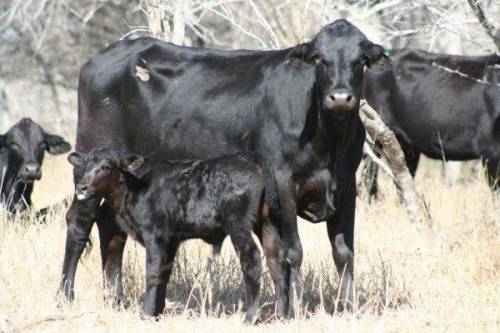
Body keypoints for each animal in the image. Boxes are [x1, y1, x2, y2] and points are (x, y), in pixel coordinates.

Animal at [69, 148, 290, 322]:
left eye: (107, 166)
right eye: (86, 164)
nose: (82, 187)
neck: (133, 186)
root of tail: (250, 158)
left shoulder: (154, 235)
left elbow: (152, 273)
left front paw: (146, 314)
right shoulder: (170, 240)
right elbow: (164, 273)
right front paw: (157, 312)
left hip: (238, 225)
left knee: (251, 259)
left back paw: (251, 317)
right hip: (266, 223)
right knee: (275, 258)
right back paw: (281, 315)